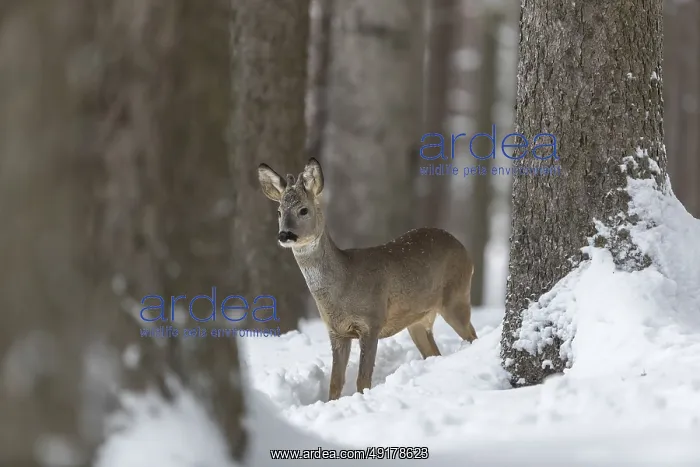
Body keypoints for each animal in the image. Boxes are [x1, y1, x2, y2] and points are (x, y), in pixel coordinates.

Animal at [257, 158, 477, 401]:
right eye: (279, 211)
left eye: (303, 210)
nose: (285, 235)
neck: (343, 283)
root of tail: (464, 249)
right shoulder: (336, 331)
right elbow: (335, 383)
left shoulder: (372, 322)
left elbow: (363, 380)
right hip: (418, 320)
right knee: (434, 352)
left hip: (456, 296)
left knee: (471, 335)